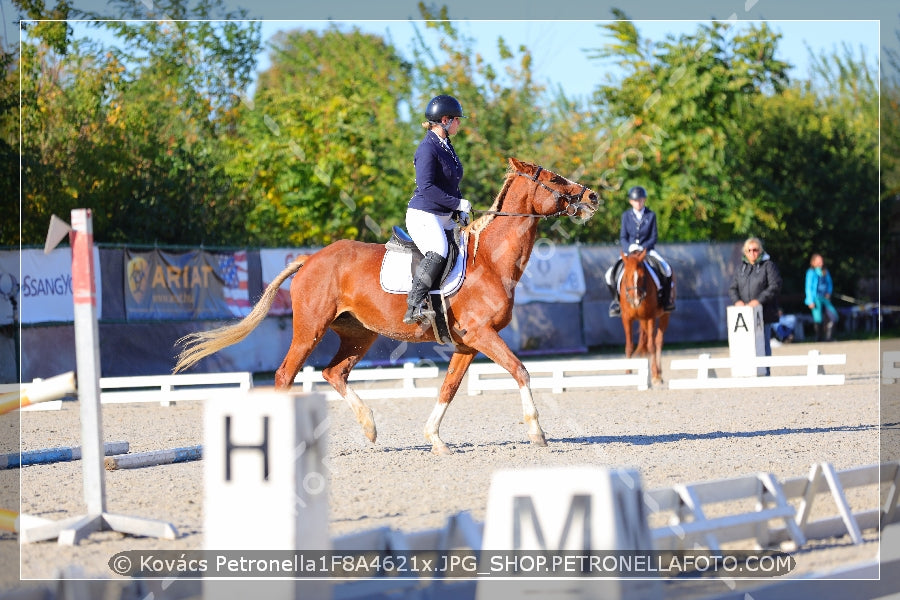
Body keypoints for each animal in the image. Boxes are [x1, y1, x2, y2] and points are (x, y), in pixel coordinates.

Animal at [175, 157, 596, 452]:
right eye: (554, 178)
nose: (592, 196)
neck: (489, 261)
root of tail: (310, 259)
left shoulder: (467, 344)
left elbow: (449, 389)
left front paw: (435, 439)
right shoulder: (482, 334)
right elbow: (520, 371)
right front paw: (538, 432)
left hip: (359, 335)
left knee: (333, 373)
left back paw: (370, 427)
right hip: (310, 329)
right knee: (284, 375)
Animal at [620, 248, 668, 384]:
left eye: (642, 277)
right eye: (626, 277)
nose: (636, 301)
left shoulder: (650, 317)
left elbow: (651, 346)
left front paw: (656, 376)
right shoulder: (626, 318)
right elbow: (629, 345)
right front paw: (628, 372)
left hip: (664, 315)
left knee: (658, 341)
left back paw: (658, 373)